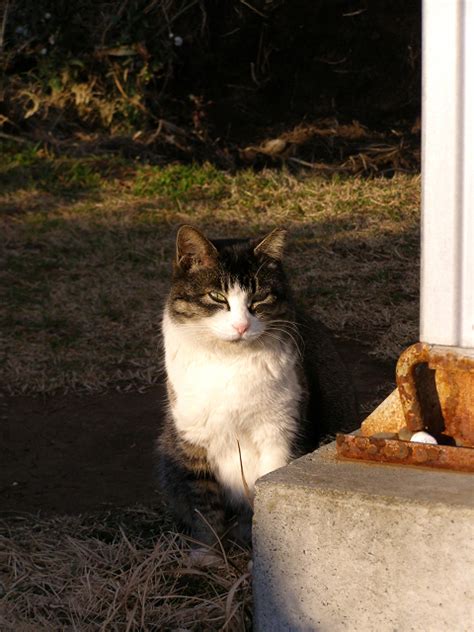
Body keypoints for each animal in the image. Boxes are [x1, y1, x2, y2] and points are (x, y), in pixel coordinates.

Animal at [157, 226, 358, 548]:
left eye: (260, 297)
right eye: (217, 296)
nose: (241, 326)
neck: (230, 361)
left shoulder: (280, 430)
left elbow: (267, 487)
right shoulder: (193, 435)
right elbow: (205, 508)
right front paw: (208, 554)